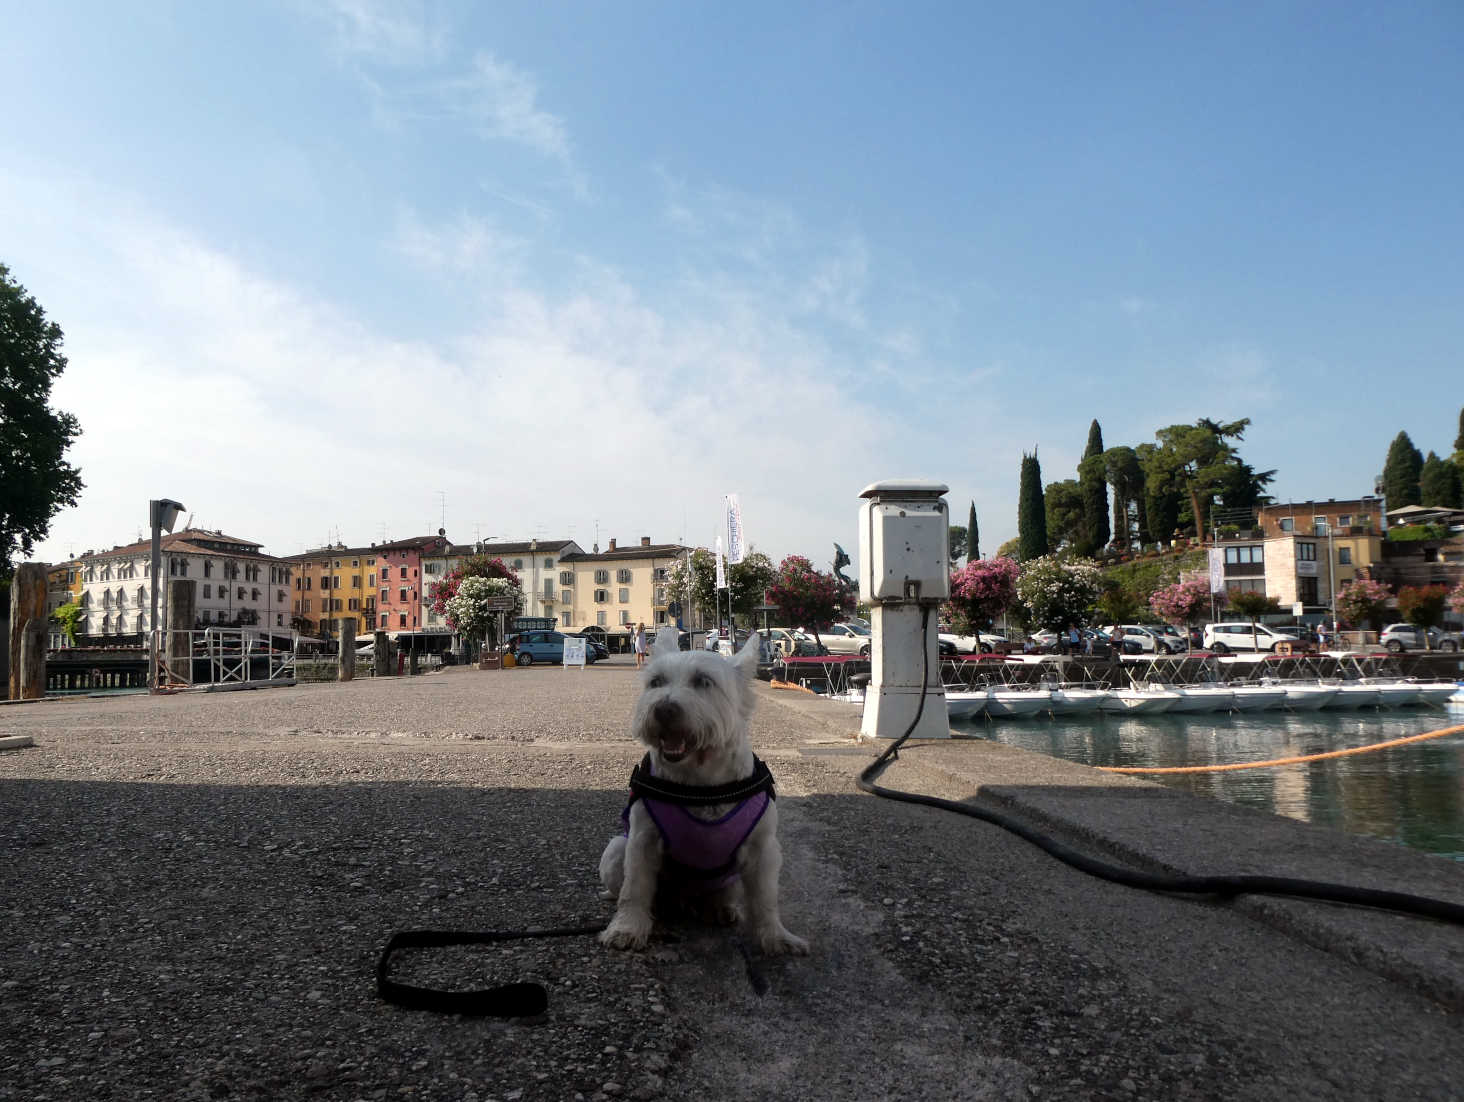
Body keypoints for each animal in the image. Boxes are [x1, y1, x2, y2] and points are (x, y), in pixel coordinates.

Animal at [603, 626, 813, 954]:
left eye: (703, 681)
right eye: (656, 682)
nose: (662, 710)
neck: (701, 782)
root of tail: (685, 901)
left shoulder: (763, 850)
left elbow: (765, 899)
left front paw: (777, 938)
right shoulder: (641, 841)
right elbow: (634, 889)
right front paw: (626, 928)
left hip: (730, 878)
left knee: (720, 896)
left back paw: (720, 910)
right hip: (615, 849)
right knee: (626, 888)